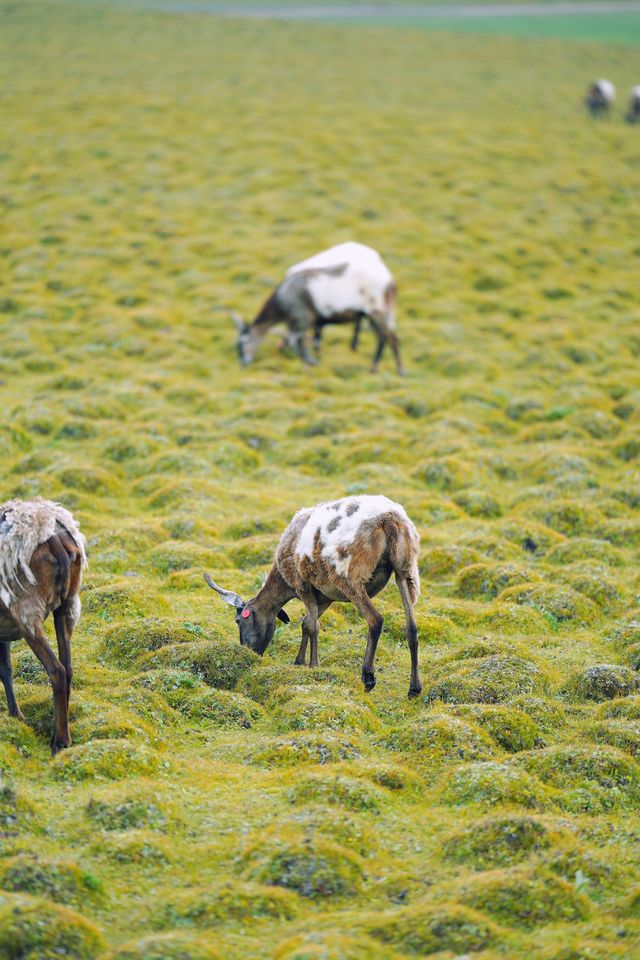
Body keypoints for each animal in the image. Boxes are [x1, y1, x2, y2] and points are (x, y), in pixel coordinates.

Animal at [0, 498, 85, 752]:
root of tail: (54, 536)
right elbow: (6, 669)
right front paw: (16, 716)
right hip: (66, 605)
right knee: (68, 667)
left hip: (27, 611)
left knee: (57, 670)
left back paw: (60, 742)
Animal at [206, 496, 424, 696]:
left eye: (238, 621)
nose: (249, 652)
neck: (282, 581)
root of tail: (389, 518)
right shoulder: (325, 595)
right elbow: (306, 624)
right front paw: (299, 662)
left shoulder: (303, 586)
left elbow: (312, 626)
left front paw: (313, 665)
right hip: (405, 569)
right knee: (411, 628)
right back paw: (414, 688)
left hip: (350, 576)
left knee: (375, 619)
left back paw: (368, 677)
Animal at [235, 242, 404, 374]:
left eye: (243, 342)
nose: (243, 363)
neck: (281, 301)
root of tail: (389, 280)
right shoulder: (300, 322)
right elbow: (302, 340)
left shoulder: (303, 318)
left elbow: (299, 343)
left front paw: (310, 363)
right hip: (371, 313)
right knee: (382, 336)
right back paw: (374, 365)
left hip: (376, 309)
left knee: (390, 337)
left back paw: (396, 370)